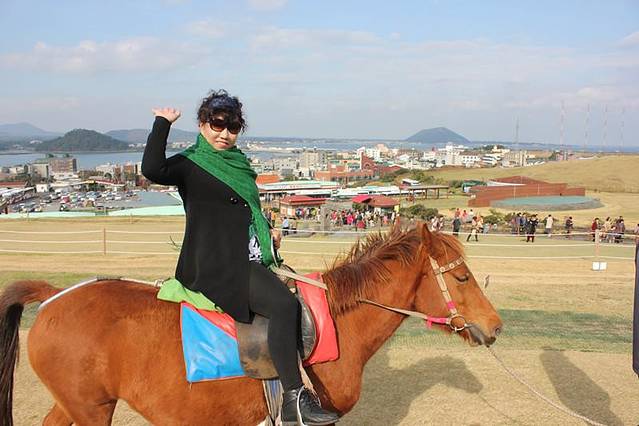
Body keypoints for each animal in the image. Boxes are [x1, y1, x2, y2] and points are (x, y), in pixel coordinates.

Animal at [0, 223, 502, 425]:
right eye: (461, 276)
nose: (494, 324)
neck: (333, 325)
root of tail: (54, 295)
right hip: (91, 410)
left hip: (76, 405)